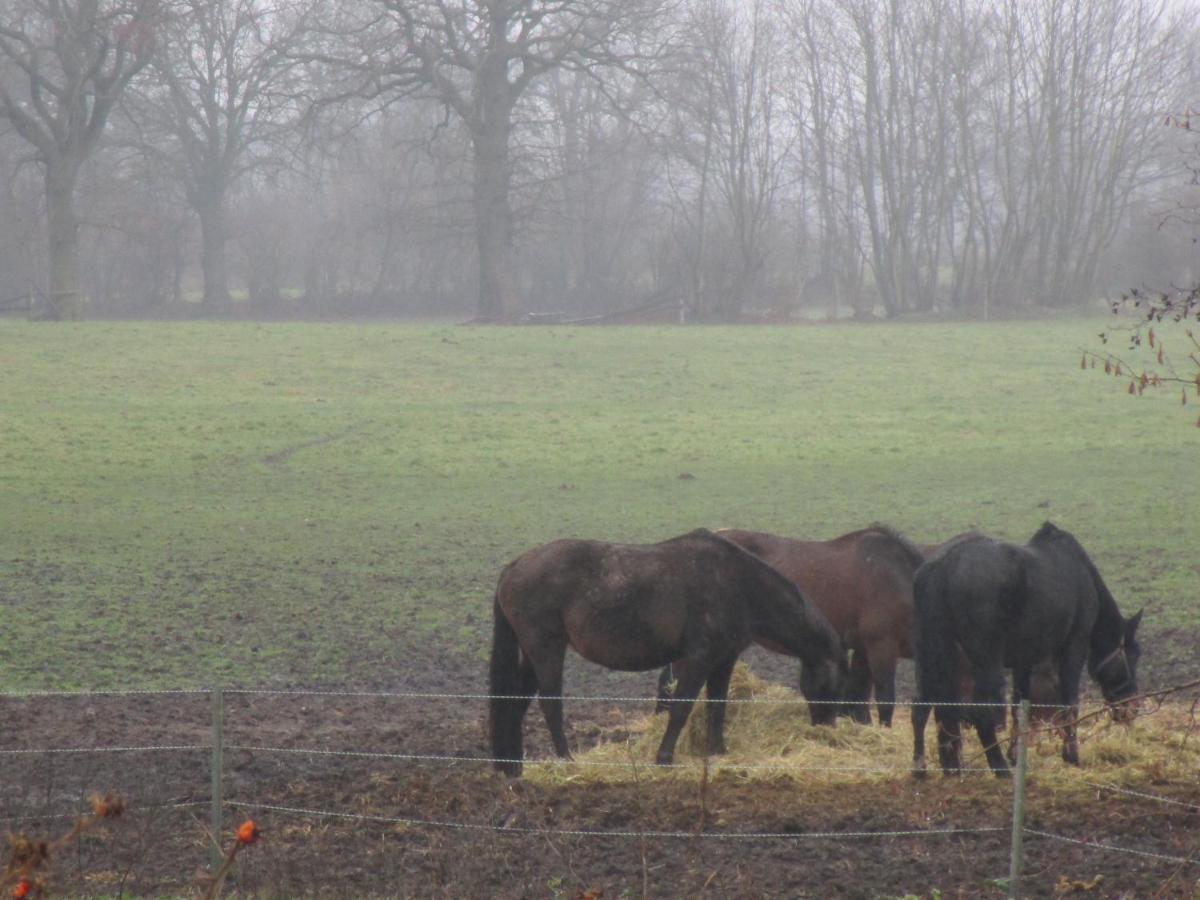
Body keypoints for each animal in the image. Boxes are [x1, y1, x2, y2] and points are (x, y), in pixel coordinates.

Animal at [484, 528, 844, 777]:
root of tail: (513, 567)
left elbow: (717, 706)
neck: (738, 583)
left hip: (532, 654)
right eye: (834, 686)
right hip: (546, 649)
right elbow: (681, 707)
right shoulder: (698, 658)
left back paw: (512, 766)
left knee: (515, 702)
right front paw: (664, 758)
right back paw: (566, 759)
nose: (826, 730)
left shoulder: (723, 661)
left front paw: (718, 751)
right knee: (550, 705)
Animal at [907, 525, 1142, 777]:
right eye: (1134, 655)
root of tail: (942, 566)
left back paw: (929, 768)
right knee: (980, 710)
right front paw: (1071, 754)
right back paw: (999, 767)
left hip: (933, 655)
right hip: (984, 661)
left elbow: (1019, 707)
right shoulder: (1074, 647)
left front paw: (1016, 754)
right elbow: (1069, 701)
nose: (1132, 708)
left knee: (923, 706)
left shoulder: (1024, 661)